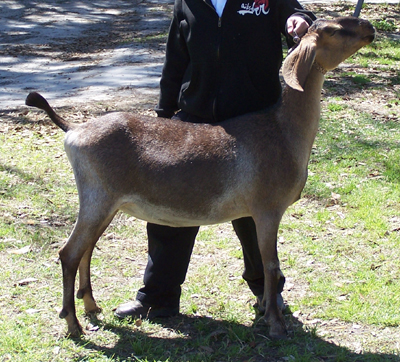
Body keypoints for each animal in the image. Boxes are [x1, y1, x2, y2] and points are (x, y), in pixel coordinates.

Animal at [25, 16, 376, 340]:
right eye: (334, 30)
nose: (369, 28)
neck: (283, 132)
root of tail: (74, 130)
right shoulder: (267, 208)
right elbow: (271, 265)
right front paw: (276, 325)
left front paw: (265, 309)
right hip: (97, 196)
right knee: (69, 253)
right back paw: (73, 325)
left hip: (106, 203)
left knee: (87, 250)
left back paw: (92, 307)